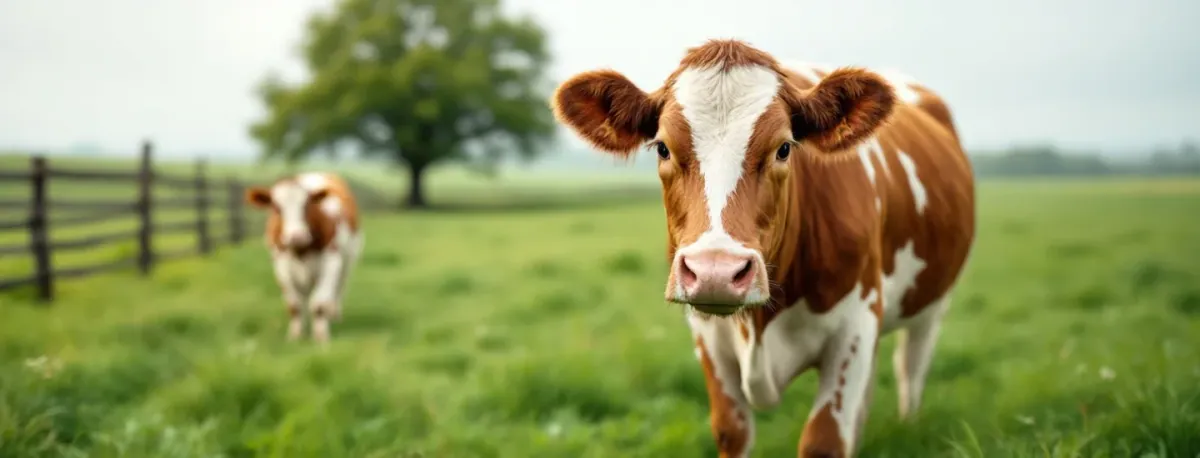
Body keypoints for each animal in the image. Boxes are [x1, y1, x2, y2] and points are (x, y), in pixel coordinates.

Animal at [245, 172, 364, 344]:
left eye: (307, 205)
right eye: (276, 207)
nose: (297, 236)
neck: (300, 249)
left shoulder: (331, 262)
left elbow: (319, 303)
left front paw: (321, 337)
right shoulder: (282, 266)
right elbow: (294, 306)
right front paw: (295, 336)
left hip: (349, 259)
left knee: (339, 288)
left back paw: (334, 313)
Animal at [550, 39, 975, 457]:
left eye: (784, 148)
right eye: (662, 148)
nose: (716, 272)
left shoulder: (855, 325)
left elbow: (825, 440)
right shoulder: (709, 338)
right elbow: (732, 431)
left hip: (932, 305)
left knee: (911, 370)